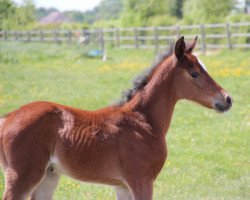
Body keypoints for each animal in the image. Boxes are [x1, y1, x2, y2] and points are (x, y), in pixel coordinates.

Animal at [0, 36, 232, 200]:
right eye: (195, 73)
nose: (227, 99)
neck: (143, 121)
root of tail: (7, 118)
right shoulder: (141, 180)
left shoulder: (122, 186)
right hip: (22, 176)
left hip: (49, 176)